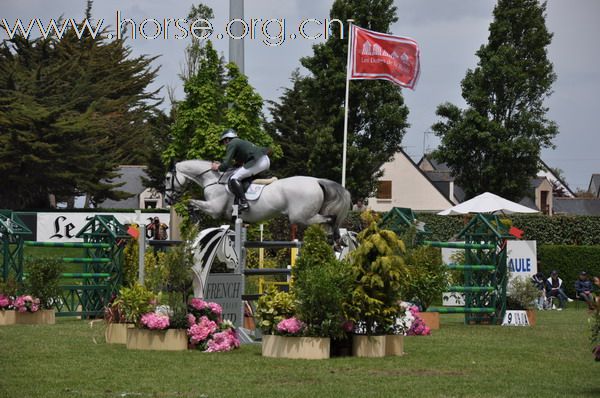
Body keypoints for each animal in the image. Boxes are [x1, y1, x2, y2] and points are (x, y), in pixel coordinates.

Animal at [164, 159, 352, 239]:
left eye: (167, 178)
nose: (167, 201)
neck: (212, 179)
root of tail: (316, 181)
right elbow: (193, 203)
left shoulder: (214, 209)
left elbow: (191, 202)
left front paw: (194, 217)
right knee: (329, 219)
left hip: (301, 217)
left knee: (330, 218)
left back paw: (336, 238)